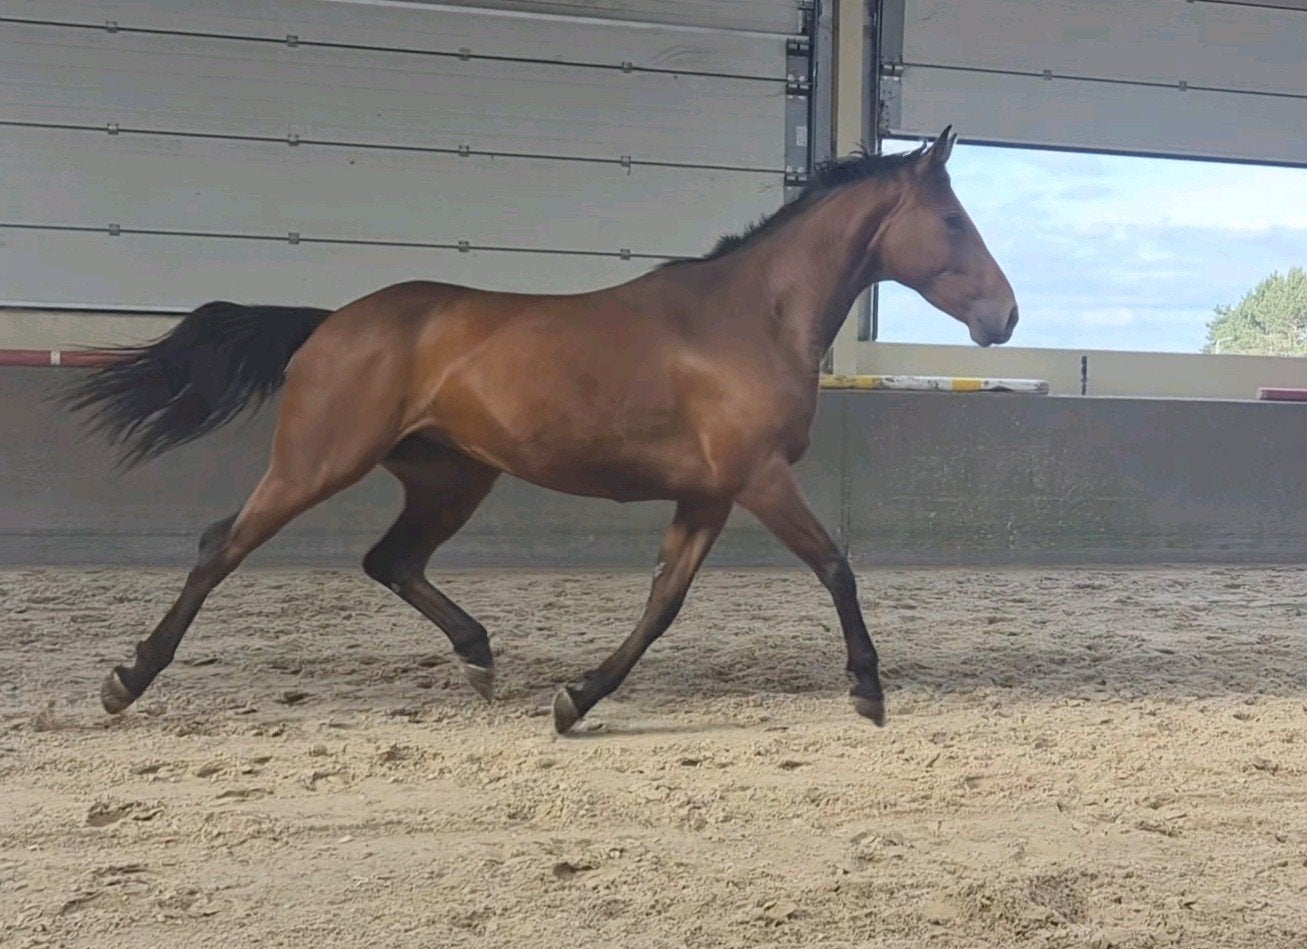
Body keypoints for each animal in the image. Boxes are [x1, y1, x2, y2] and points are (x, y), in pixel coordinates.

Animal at [68, 127, 1018, 734]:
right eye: (953, 221)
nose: (1004, 317)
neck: (748, 317)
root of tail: (329, 322)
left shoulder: (708, 494)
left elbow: (662, 603)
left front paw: (576, 699)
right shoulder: (757, 478)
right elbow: (834, 566)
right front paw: (868, 689)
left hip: (452, 476)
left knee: (391, 559)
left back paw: (479, 657)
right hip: (318, 461)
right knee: (221, 544)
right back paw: (126, 680)